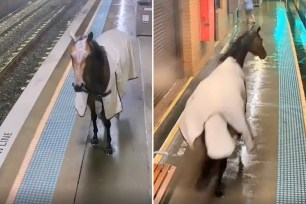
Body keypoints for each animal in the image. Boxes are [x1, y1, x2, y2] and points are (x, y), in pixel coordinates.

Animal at [179, 26, 266, 197]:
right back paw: (218, 187)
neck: (232, 61)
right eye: (260, 40)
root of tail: (213, 115)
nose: (264, 54)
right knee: (222, 164)